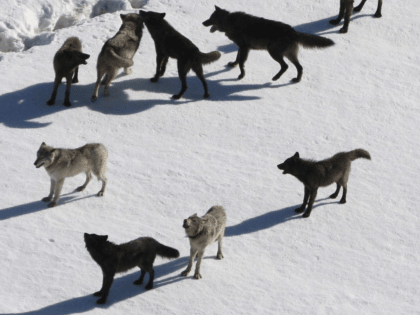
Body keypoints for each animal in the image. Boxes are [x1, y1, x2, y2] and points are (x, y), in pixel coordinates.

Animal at [203, 6, 334, 82]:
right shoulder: (241, 47)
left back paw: (276, 78)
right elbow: (237, 59)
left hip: (273, 52)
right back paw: (296, 80)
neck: (230, 22)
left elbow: (241, 62)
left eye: (211, 18)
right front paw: (233, 65)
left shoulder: (245, 48)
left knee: (285, 66)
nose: (203, 23)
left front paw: (241, 75)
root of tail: (293, 31)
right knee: (299, 67)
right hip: (289, 54)